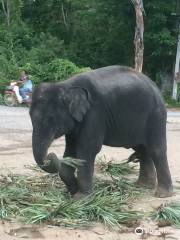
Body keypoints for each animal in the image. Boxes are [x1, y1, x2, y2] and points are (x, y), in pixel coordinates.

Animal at [29, 66, 173, 199]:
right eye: (30, 116)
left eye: (51, 118)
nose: (50, 155)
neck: (66, 85)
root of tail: (155, 86)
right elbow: (71, 150)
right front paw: (72, 193)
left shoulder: (94, 114)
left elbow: (87, 149)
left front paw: (81, 198)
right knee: (142, 149)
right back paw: (142, 186)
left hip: (156, 115)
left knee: (156, 150)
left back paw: (162, 194)